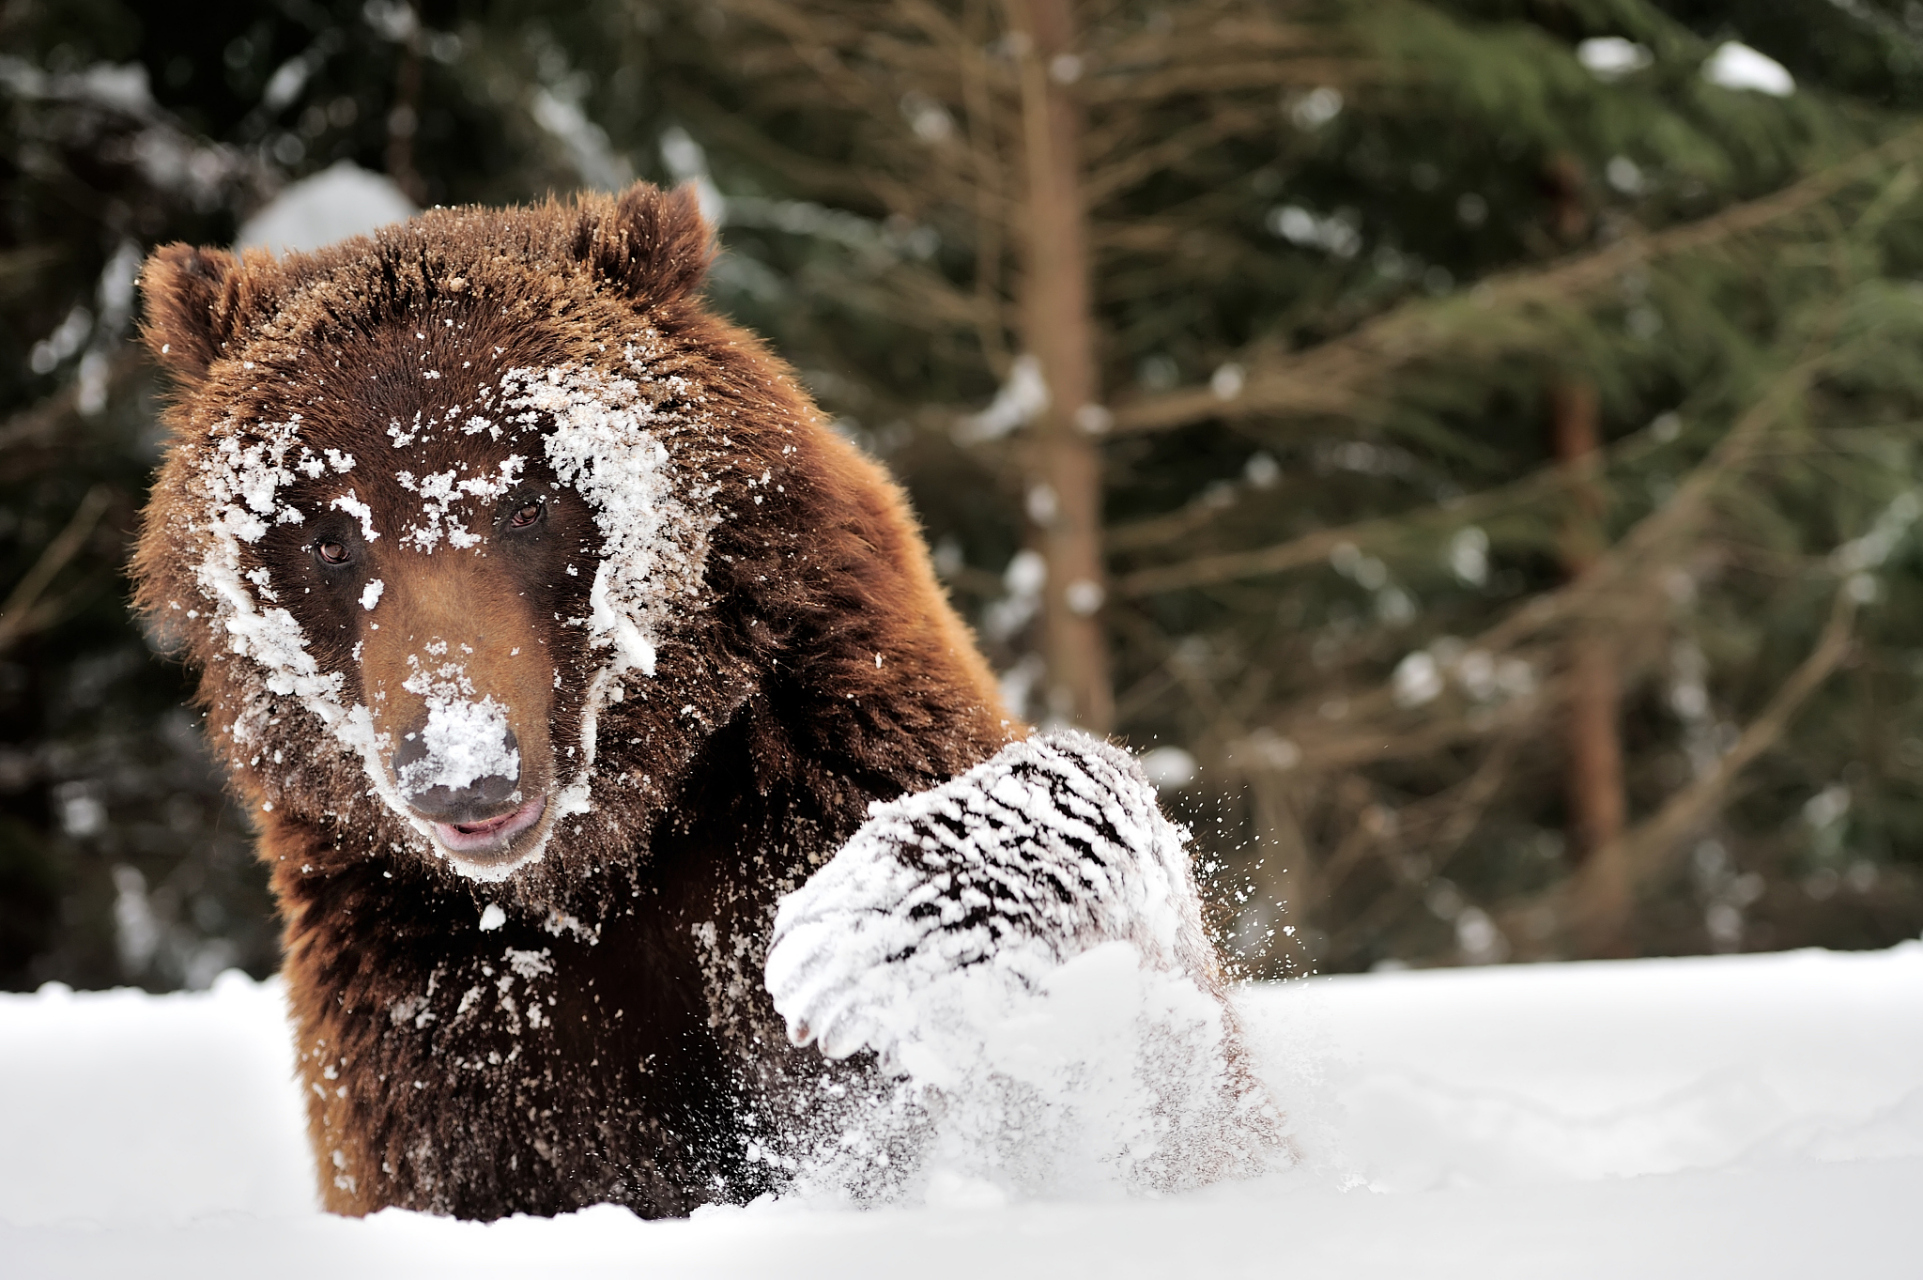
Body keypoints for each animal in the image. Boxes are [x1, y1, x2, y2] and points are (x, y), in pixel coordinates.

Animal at [131, 181, 1276, 1214]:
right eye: (328, 533)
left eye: (530, 499)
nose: (462, 772)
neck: (604, 852)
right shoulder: (448, 1002)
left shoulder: (812, 763)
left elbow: (1158, 1089)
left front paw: (883, 927)